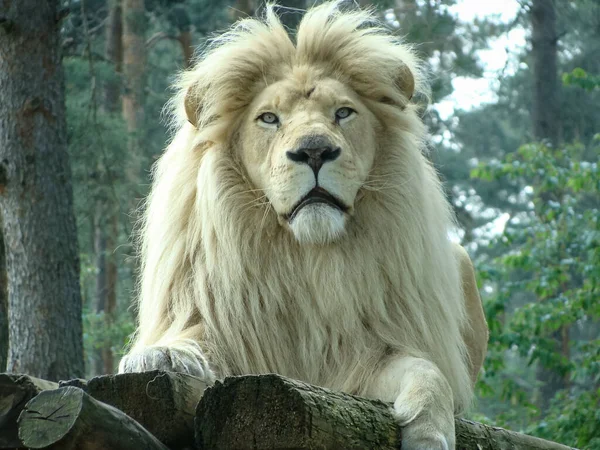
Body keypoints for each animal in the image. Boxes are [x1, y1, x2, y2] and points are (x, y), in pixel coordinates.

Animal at [119, 1, 490, 448]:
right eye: (268, 118)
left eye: (343, 112)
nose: (314, 150)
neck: (306, 259)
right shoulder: (235, 339)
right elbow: (190, 344)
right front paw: (163, 355)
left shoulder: (365, 355)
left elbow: (428, 373)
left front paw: (430, 435)